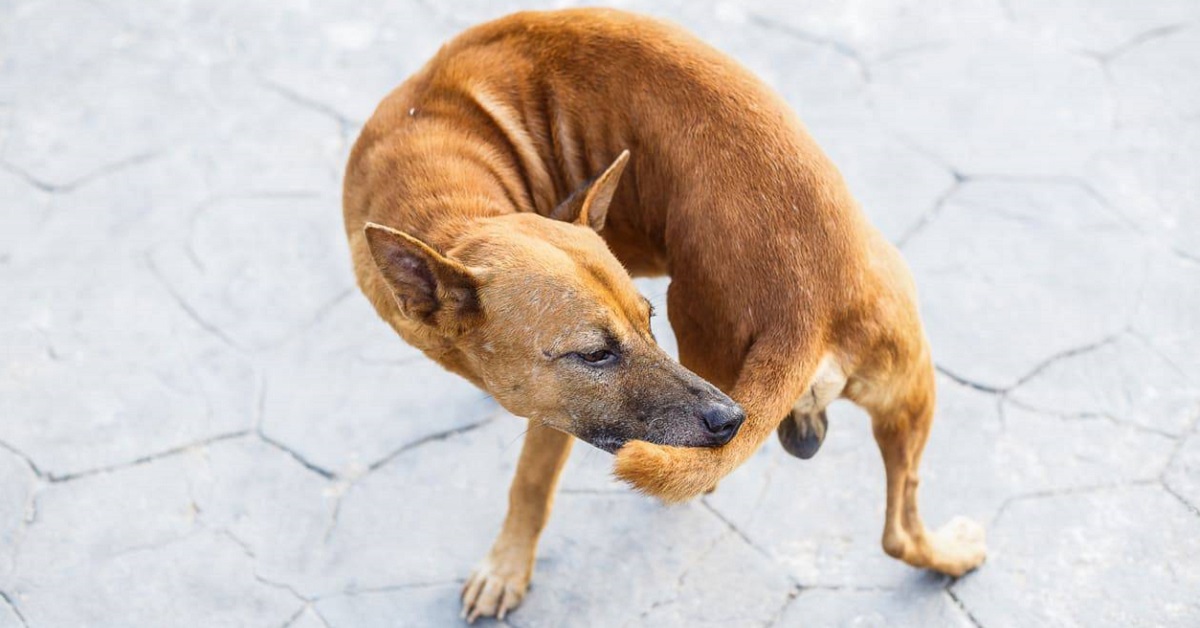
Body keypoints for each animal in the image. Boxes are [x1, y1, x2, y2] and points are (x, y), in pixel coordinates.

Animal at [340, 7, 984, 619]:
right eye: (595, 353)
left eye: (646, 322)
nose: (731, 420)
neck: (449, 196)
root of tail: (808, 299)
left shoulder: (555, 418)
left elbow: (529, 485)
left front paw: (505, 568)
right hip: (904, 388)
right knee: (898, 531)